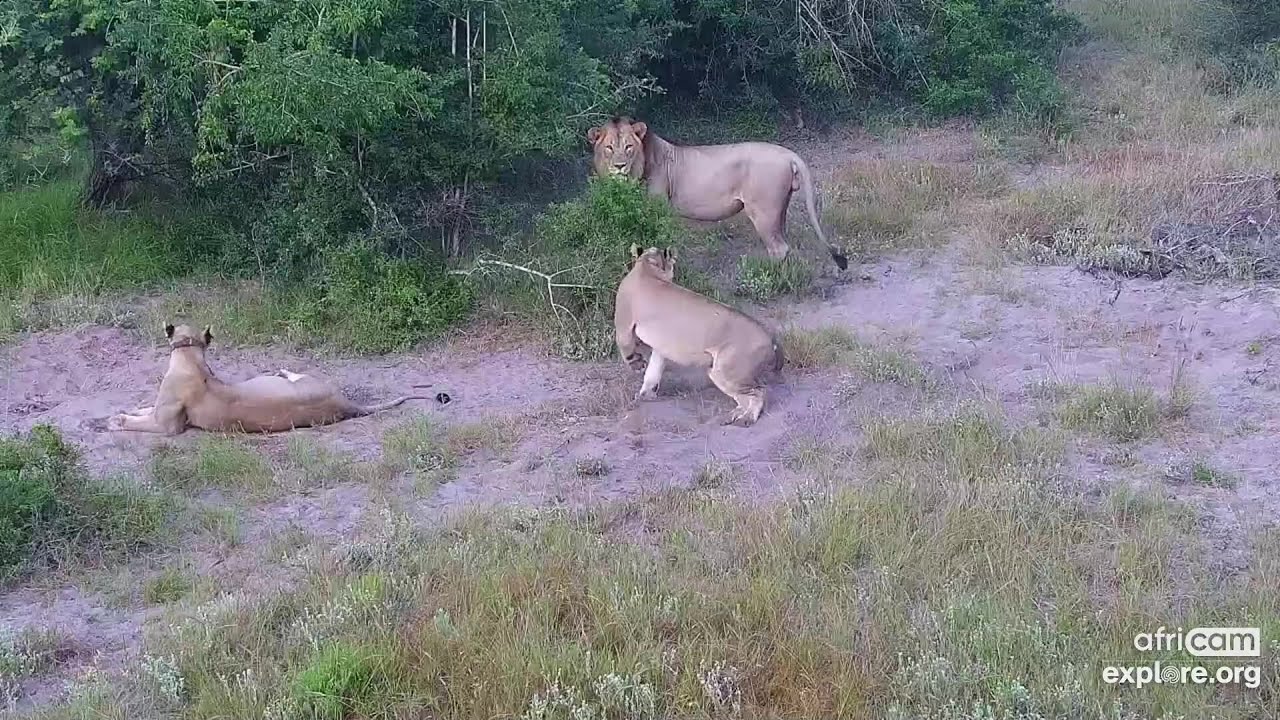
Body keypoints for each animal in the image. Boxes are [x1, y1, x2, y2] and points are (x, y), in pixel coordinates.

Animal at [108, 323, 427, 435]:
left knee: (292, 373)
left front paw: (117, 421)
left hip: (306, 379)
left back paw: (282, 370)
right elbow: (145, 409)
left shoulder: (169, 426)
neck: (190, 356)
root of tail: (345, 404)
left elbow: (141, 422)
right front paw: (130, 410)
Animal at [587, 116, 848, 271]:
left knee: (779, 248)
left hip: (763, 212)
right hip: (779, 209)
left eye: (629, 147)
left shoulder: (657, 208)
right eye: (609, 148)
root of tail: (788, 154)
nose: (619, 166)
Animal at [614, 244, 784, 427]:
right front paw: (647, 394)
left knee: (758, 392)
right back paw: (733, 415)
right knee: (745, 396)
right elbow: (654, 368)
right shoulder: (660, 345)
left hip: (725, 370)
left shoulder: (624, 326)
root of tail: (770, 337)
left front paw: (637, 365)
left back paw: (746, 419)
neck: (647, 266)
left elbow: (626, 348)